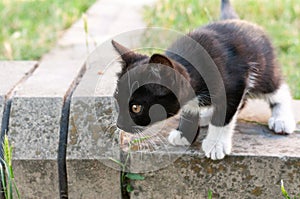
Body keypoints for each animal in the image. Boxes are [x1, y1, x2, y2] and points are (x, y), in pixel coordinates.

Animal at [110, 0, 296, 159]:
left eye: (136, 108)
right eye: (116, 99)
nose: (119, 125)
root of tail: (237, 20)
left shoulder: (235, 83)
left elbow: (225, 112)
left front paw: (216, 144)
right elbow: (190, 107)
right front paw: (185, 133)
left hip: (263, 67)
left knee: (277, 88)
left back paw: (282, 118)